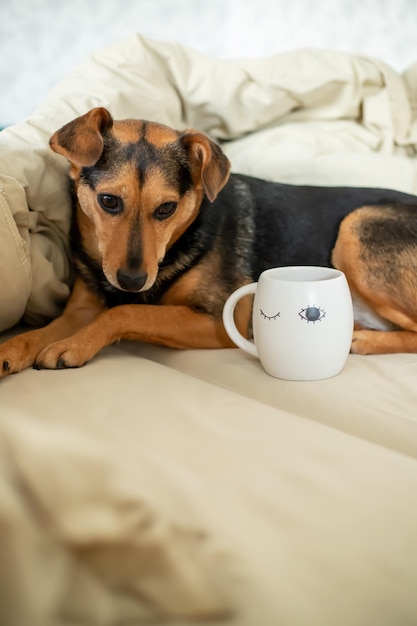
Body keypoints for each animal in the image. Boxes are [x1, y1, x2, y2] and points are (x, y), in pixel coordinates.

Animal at [0, 105, 416, 376]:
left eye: (167, 208)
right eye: (108, 201)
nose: (132, 281)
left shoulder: (219, 321)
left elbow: (125, 312)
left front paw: (73, 345)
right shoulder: (79, 310)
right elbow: (44, 330)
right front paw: (12, 349)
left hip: (357, 226)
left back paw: (363, 341)